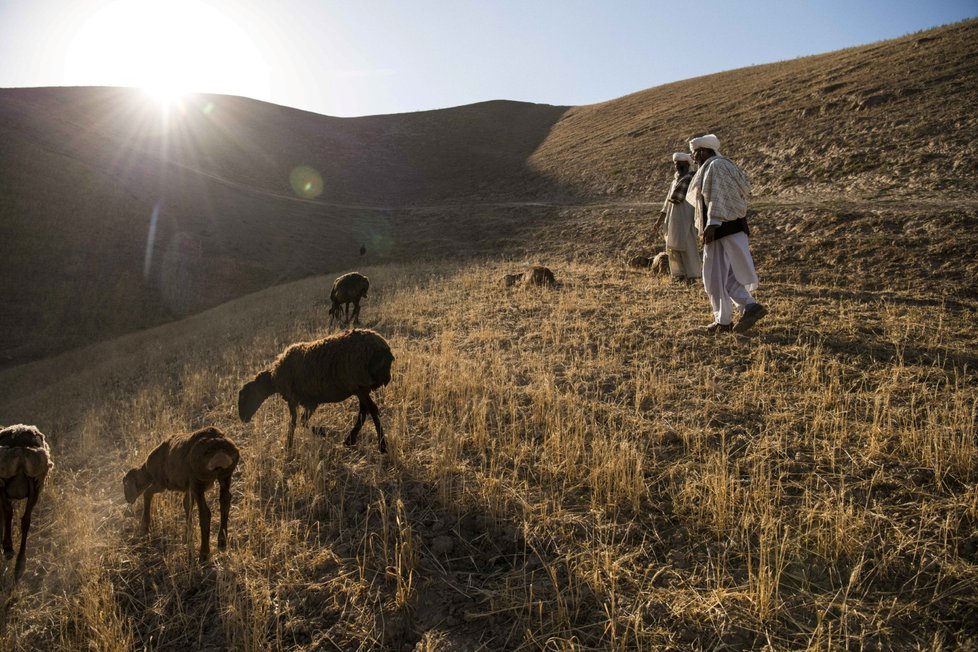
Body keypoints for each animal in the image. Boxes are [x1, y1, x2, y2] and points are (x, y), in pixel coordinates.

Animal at [0, 426, 52, 584]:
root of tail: (21, 450)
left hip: (3, 482)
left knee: (8, 512)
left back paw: (8, 549)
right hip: (35, 484)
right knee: (26, 521)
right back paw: (20, 563)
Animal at [123, 428, 239, 560]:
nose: (128, 500)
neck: (148, 471)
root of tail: (219, 451)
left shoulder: (161, 483)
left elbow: (147, 493)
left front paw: (144, 528)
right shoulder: (188, 488)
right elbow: (187, 505)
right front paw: (188, 535)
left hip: (198, 481)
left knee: (205, 513)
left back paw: (203, 553)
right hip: (225, 475)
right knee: (225, 501)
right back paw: (222, 542)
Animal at [237, 328, 392, 450]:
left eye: (244, 397)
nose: (243, 419)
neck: (275, 377)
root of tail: (383, 348)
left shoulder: (294, 398)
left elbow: (294, 422)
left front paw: (289, 446)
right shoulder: (311, 401)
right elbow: (302, 421)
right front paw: (322, 432)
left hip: (359, 382)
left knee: (372, 409)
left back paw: (382, 446)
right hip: (360, 386)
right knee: (364, 410)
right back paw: (350, 440)